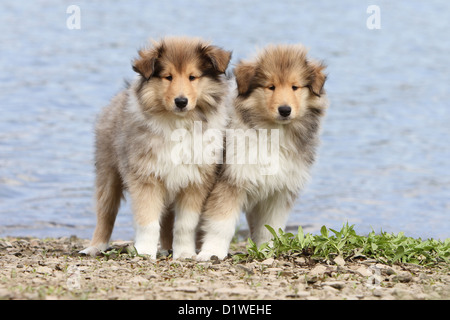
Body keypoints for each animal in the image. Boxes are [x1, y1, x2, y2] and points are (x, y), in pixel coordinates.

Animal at [80, 36, 232, 258]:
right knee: (105, 214)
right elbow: (148, 221)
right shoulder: (146, 177)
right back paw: (95, 246)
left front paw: (185, 253)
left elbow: (185, 224)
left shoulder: (195, 181)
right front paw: (144, 252)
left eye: (192, 77)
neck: (177, 124)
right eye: (168, 77)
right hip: (108, 173)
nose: (181, 101)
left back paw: (168, 248)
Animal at [197, 44, 326, 260]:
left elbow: (269, 227)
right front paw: (211, 252)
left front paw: (266, 250)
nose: (285, 110)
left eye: (295, 87)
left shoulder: (278, 191)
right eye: (270, 87)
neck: (273, 132)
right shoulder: (230, 181)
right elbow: (221, 223)